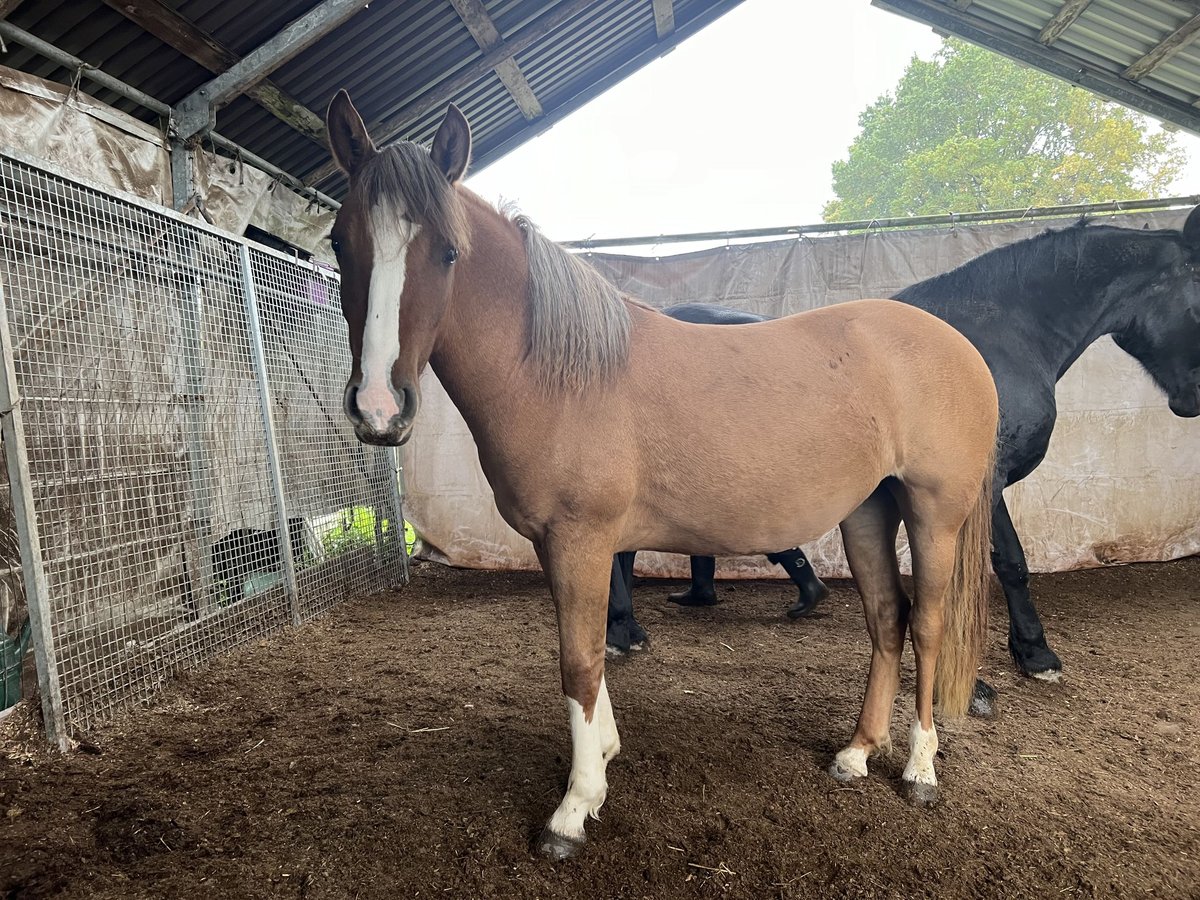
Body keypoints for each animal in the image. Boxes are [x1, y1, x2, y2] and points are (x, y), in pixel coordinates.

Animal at [324, 93, 998, 859]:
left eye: (447, 250)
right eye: (340, 242)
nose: (379, 407)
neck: (564, 375)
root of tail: (957, 345)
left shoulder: (581, 539)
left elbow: (580, 659)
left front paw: (574, 808)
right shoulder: (563, 545)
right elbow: (591, 652)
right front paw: (604, 757)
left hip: (933, 514)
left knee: (928, 626)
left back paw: (920, 768)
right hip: (866, 511)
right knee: (886, 620)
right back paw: (856, 753)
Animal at [609, 211, 1200, 710]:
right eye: (1198, 300)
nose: (1191, 400)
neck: (992, 340)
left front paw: (1028, 656)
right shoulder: (980, 484)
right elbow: (1004, 564)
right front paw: (1009, 666)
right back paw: (622, 630)